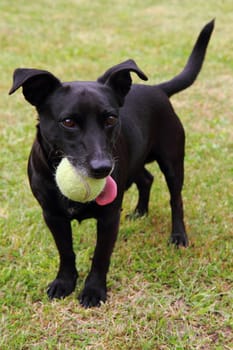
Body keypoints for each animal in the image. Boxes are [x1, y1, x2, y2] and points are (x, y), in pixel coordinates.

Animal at [9, 21, 213, 306]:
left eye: (110, 118)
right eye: (68, 122)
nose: (102, 168)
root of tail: (158, 89)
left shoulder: (108, 217)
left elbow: (100, 256)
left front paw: (94, 290)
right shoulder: (52, 215)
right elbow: (66, 252)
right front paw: (64, 283)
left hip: (171, 162)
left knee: (176, 199)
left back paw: (178, 236)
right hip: (133, 162)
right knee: (146, 179)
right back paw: (140, 212)